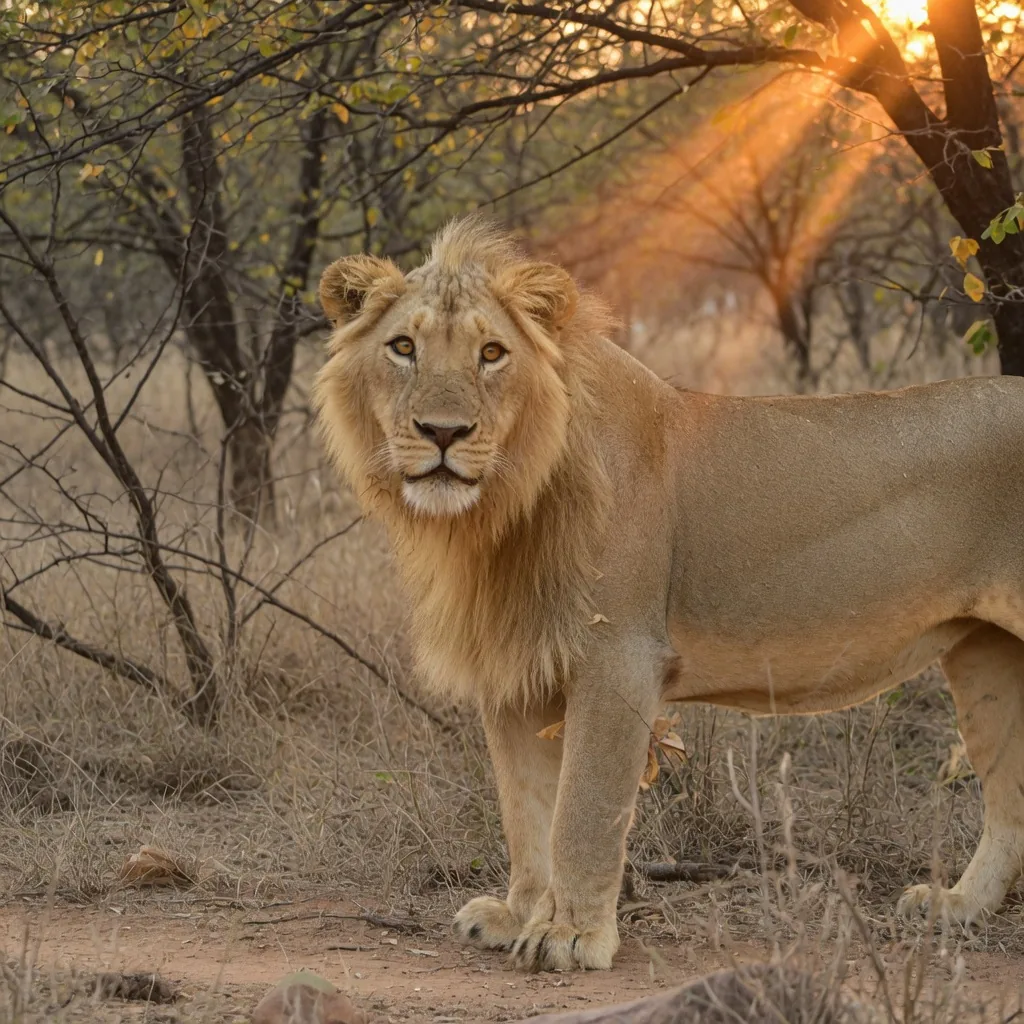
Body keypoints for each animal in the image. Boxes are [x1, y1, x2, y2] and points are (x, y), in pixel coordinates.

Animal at [313, 217, 1024, 972]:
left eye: (492, 353)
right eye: (403, 347)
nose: (443, 433)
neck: (502, 509)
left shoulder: (619, 654)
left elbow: (582, 809)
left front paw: (570, 935)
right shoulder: (515, 670)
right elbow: (525, 811)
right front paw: (519, 915)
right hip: (986, 657)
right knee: (1011, 801)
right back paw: (957, 907)